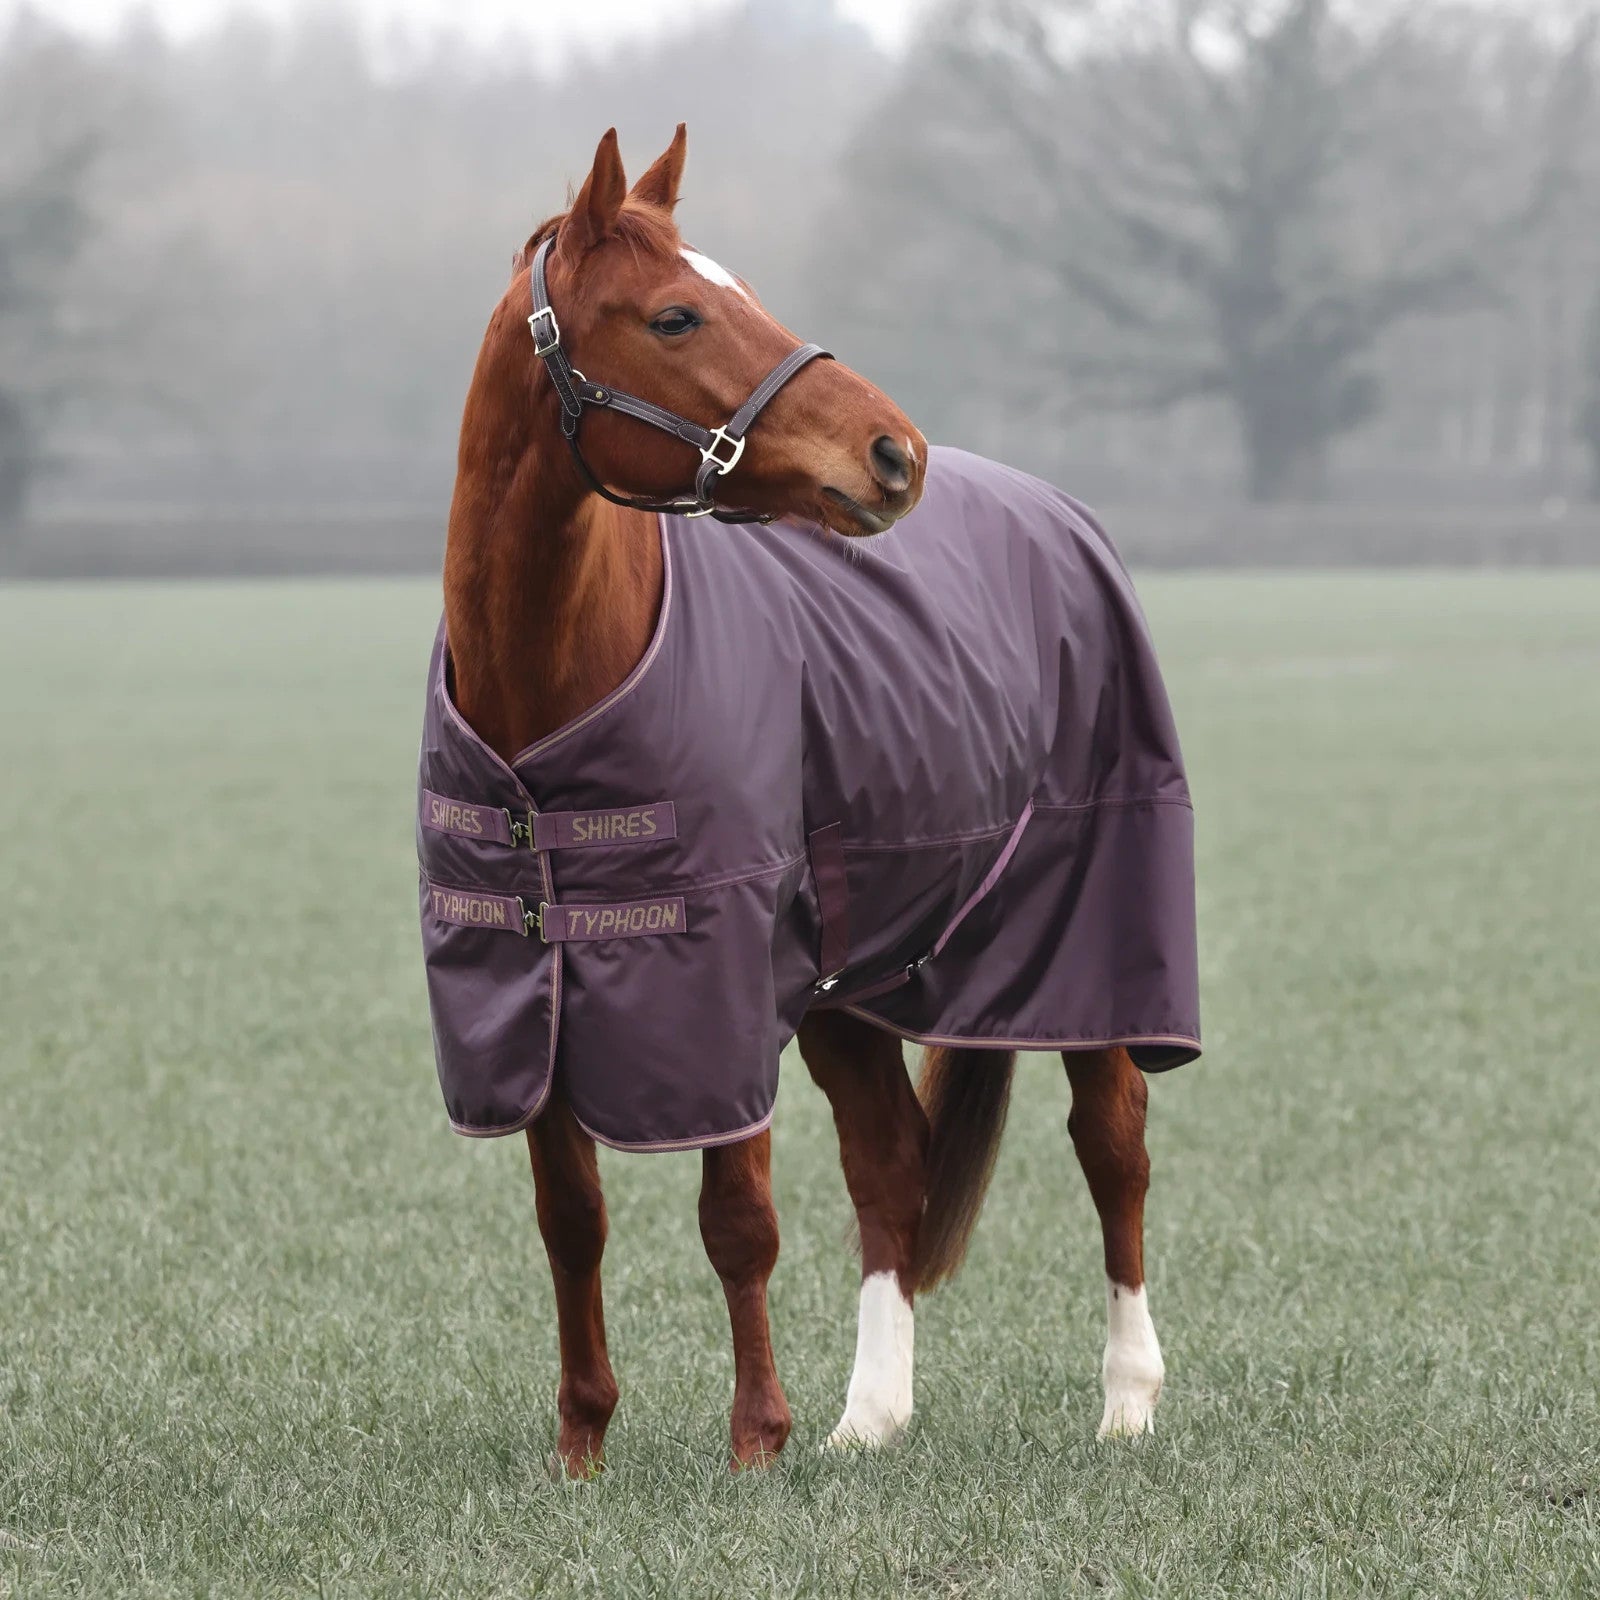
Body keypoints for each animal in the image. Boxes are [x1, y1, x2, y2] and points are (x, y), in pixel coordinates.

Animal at [428, 125, 1196, 1476]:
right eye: (675, 314)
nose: (897, 453)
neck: (551, 695)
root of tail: (1054, 509)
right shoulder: (536, 991)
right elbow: (570, 1217)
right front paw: (583, 1447)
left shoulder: (717, 983)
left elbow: (736, 1217)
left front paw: (754, 1443)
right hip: (854, 981)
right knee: (889, 1165)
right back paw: (869, 1417)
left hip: (1091, 944)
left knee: (1114, 1146)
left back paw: (1124, 1400)